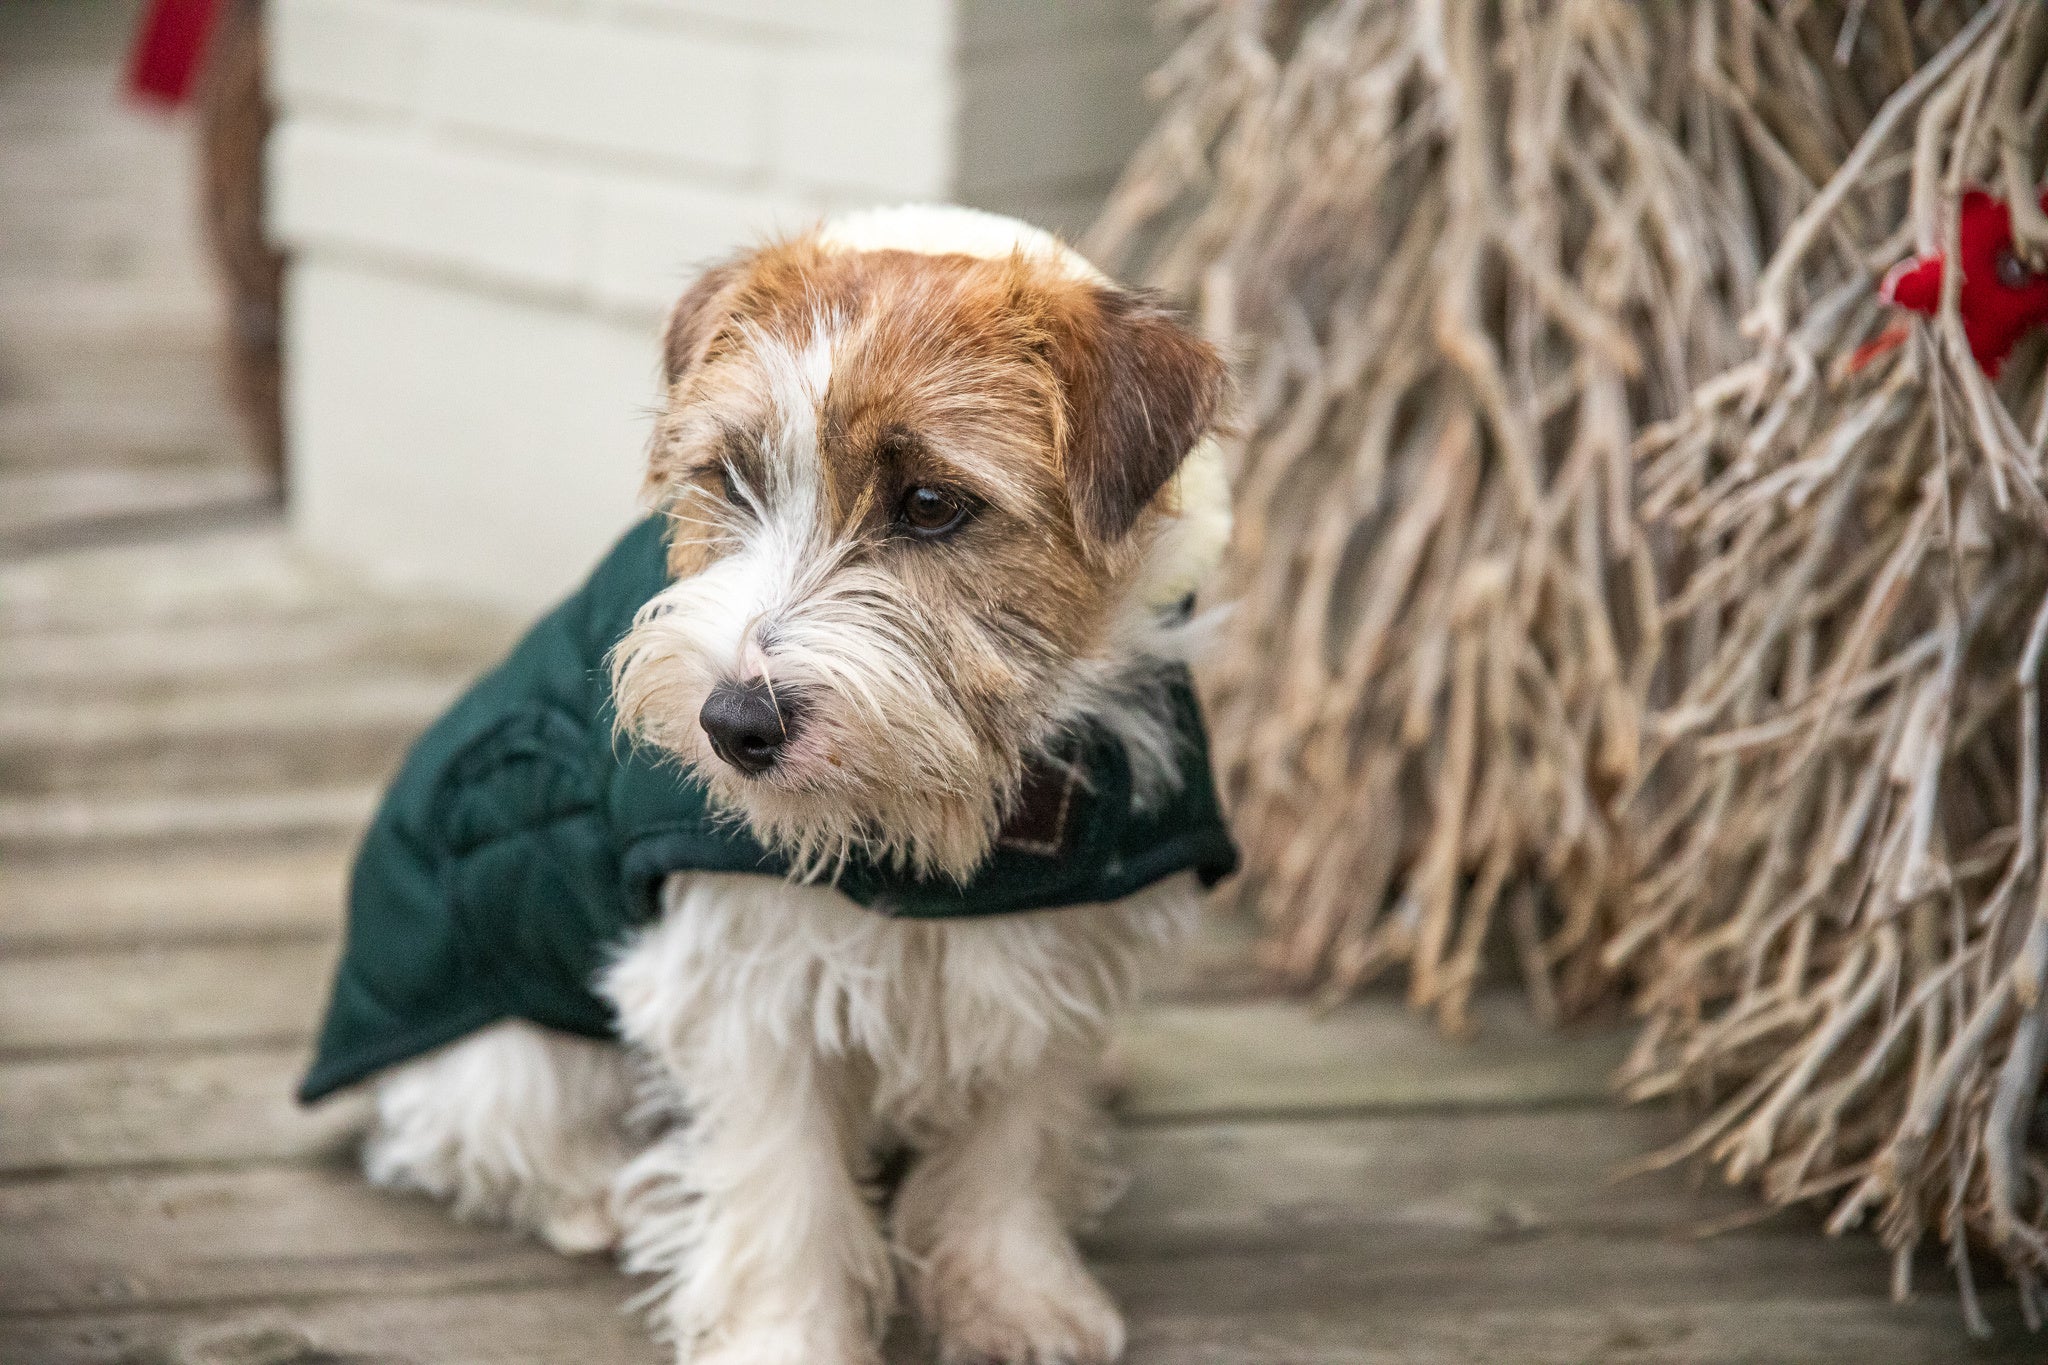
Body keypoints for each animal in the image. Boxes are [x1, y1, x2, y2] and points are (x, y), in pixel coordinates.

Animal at [354, 205, 1228, 1365]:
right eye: (732, 478)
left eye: (931, 505)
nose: (733, 723)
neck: (948, 835)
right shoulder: (748, 980)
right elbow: (785, 1189)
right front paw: (788, 1334)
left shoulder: (1053, 945)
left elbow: (1015, 1136)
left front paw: (1016, 1295)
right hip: (504, 1036)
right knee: (467, 1132)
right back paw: (601, 1199)